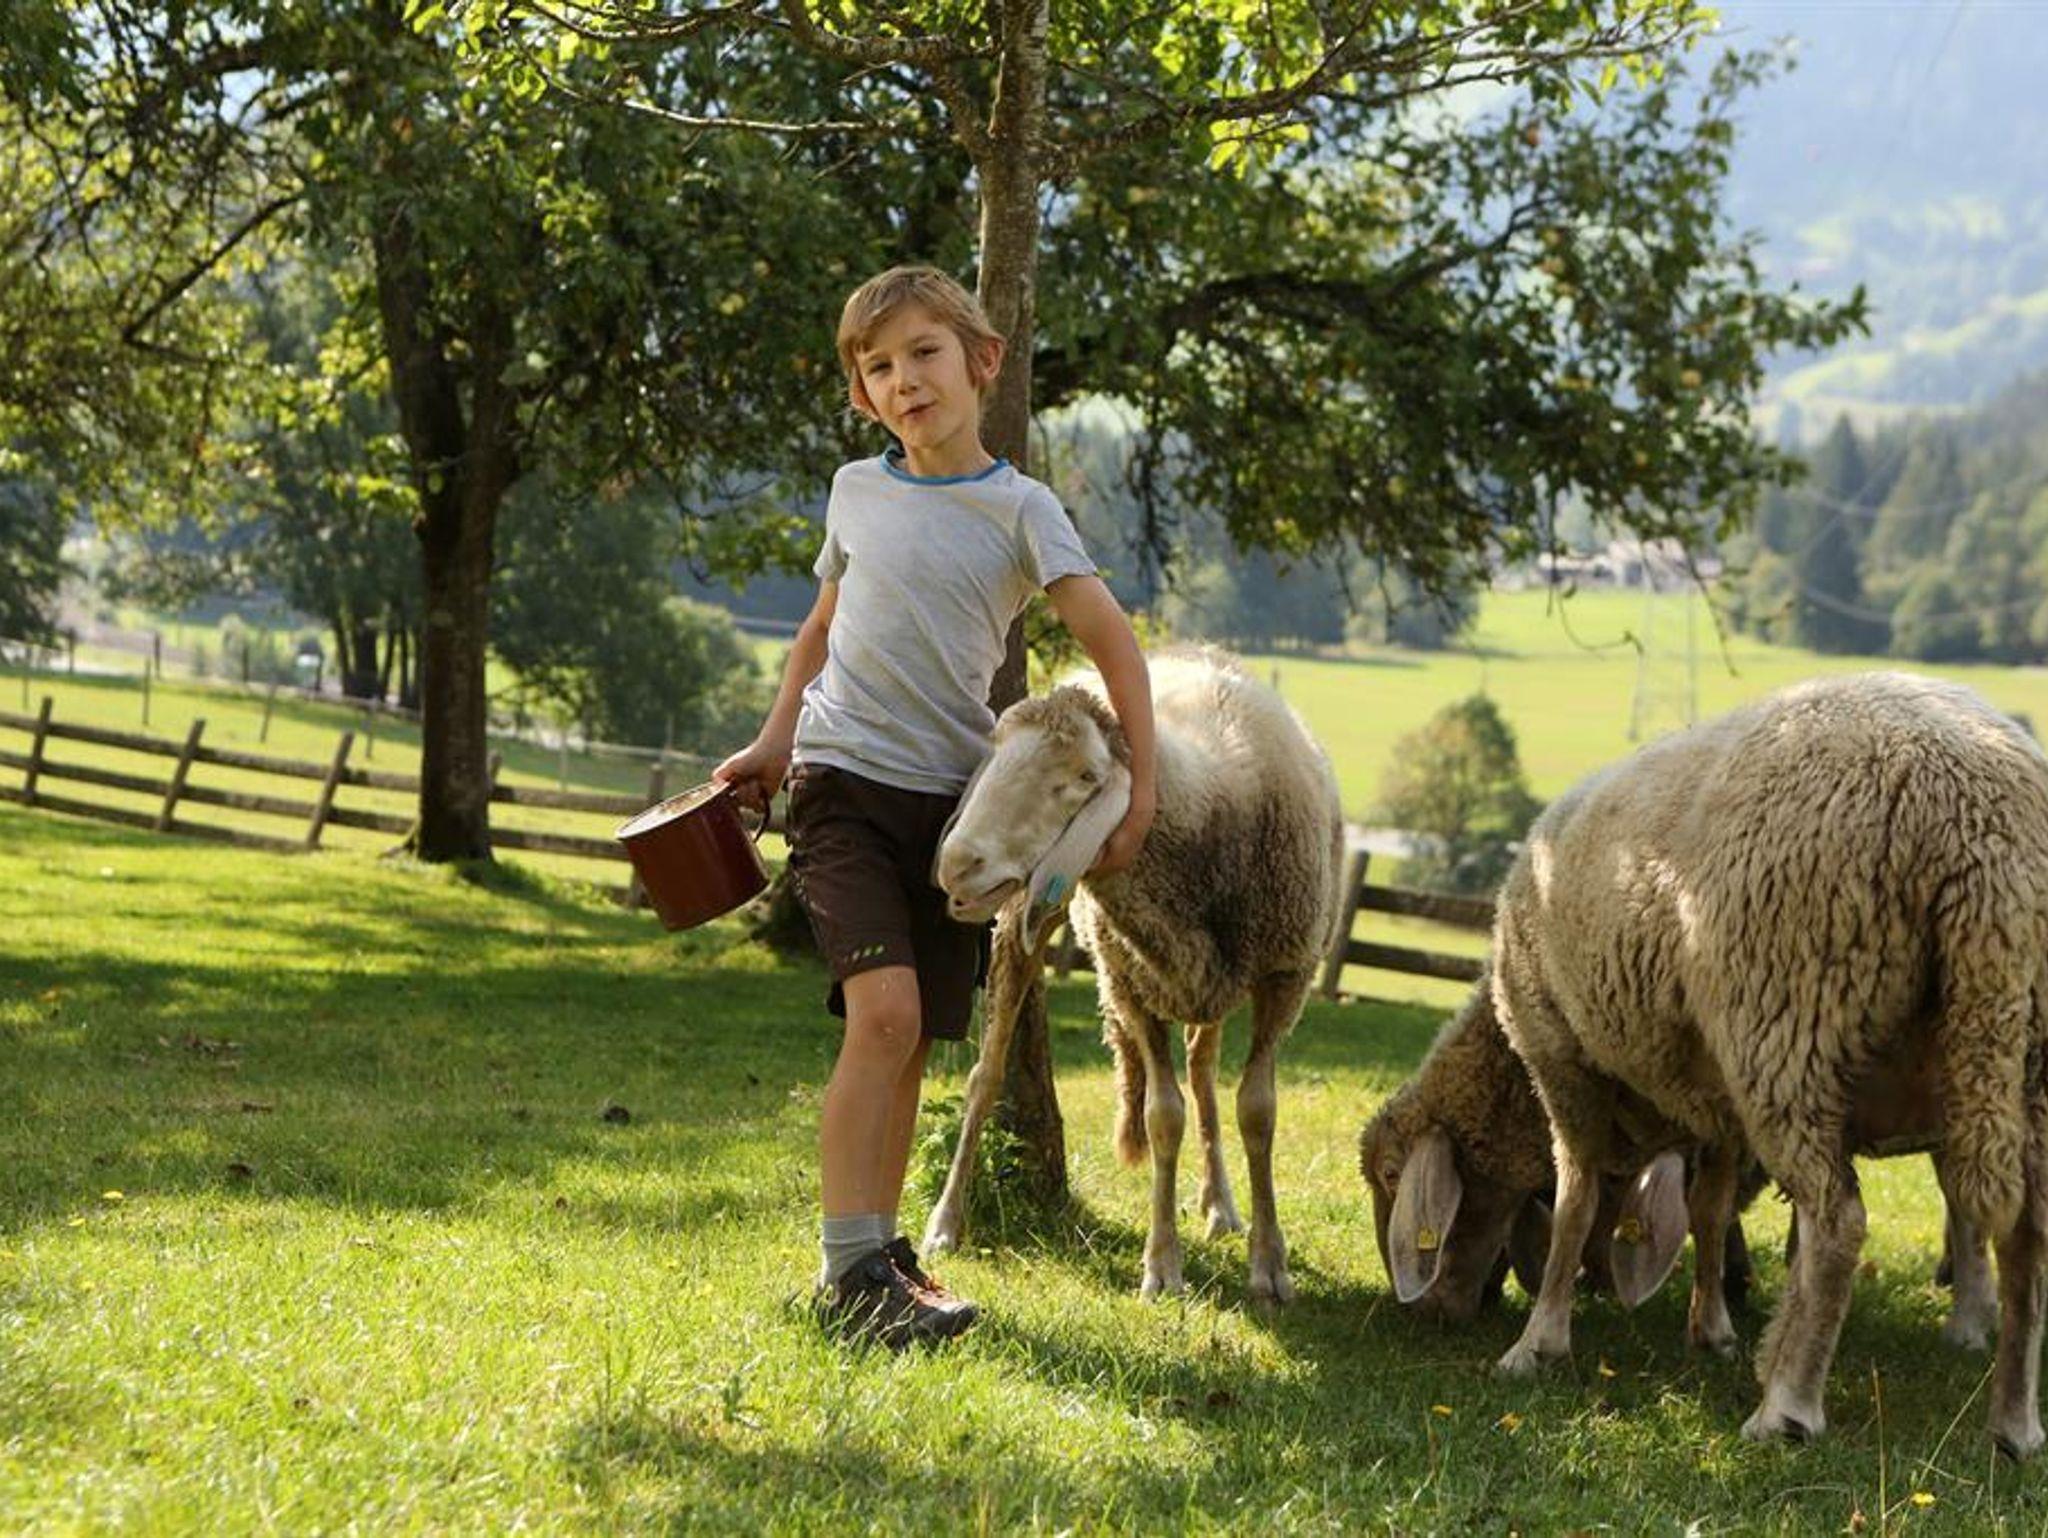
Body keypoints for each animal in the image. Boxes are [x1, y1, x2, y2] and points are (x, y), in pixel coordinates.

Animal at [928, 647, 1344, 1301]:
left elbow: (1256, 1111)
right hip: (1029, 927)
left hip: (1210, 980)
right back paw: (946, 1221)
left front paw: (1269, 1264)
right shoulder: (1130, 983)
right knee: (985, 1076)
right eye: (996, 752)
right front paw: (1162, 1265)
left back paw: (1221, 1205)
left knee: (1204, 1074)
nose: (957, 864)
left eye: (1084, 778)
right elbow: (1162, 1117)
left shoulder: (1288, 975)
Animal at [1470, 672, 2048, 1454]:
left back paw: (1788, 1407)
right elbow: (1708, 1212)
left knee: (1839, 1222)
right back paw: (2014, 1425)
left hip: (1790, 1016)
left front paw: (1537, 1343)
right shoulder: (1716, 1106)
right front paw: (1711, 1327)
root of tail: (1986, 826)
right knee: (2026, 1235)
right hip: (2022, 1060)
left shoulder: (1559, 1057)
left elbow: (1574, 1203)